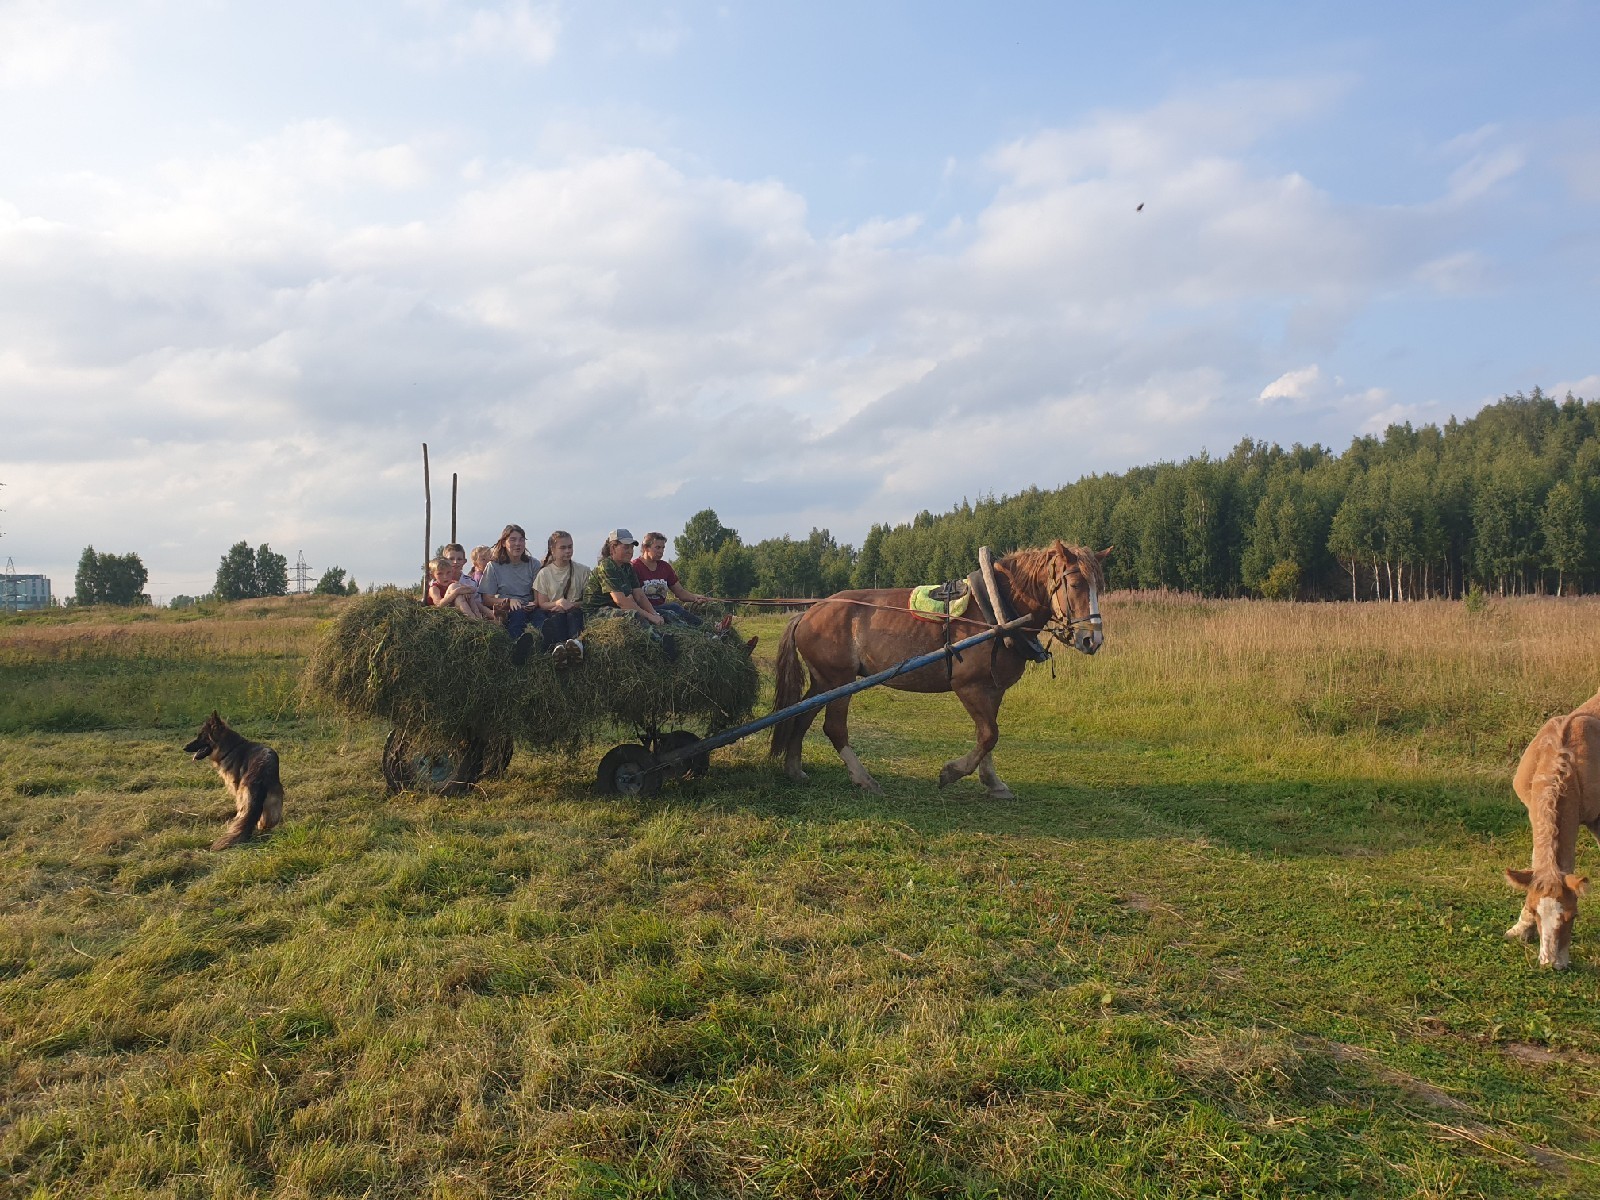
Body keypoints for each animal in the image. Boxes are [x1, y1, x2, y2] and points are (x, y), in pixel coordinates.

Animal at [185, 720, 286, 851]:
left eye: (201, 736)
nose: (184, 747)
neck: (231, 747)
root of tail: (261, 773)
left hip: (243, 795)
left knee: (243, 814)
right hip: (274, 799)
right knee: (268, 820)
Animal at [768, 544, 1107, 800]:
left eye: (1099, 586)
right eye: (1075, 584)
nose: (1093, 640)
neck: (996, 613)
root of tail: (808, 612)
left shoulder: (992, 688)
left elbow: (987, 736)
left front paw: (992, 782)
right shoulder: (968, 686)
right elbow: (989, 734)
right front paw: (952, 772)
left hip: (824, 681)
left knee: (801, 716)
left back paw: (794, 769)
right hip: (839, 680)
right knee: (834, 728)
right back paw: (864, 779)